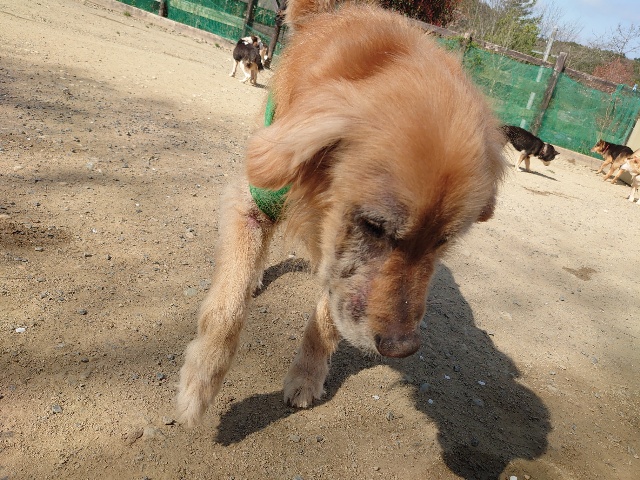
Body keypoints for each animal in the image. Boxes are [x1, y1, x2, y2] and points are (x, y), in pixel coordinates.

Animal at [176, 0, 507, 427]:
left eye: (444, 241)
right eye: (374, 226)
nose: (402, 348)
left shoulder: (340, 269)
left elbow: (326, 320)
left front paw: (306, 377)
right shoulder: (252, 203)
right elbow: (227, 308)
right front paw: (199, 385)